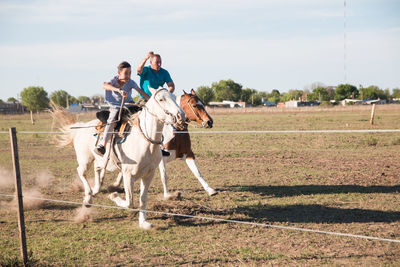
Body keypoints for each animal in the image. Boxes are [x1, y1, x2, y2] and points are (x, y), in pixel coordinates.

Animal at [52, 88, 185, 230]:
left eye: (173, 96)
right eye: (161, 99)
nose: (180, 116)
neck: (144, 141)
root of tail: (81, 127)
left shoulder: (149, 174)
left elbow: (142, 200)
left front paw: (144, 223)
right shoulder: (128, 175)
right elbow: (130, 202)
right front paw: (114, 195)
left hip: (101, 160)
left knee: (97, 170)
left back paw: (95, 190)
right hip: (85, 159)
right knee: (81, 172)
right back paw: (88, 198)